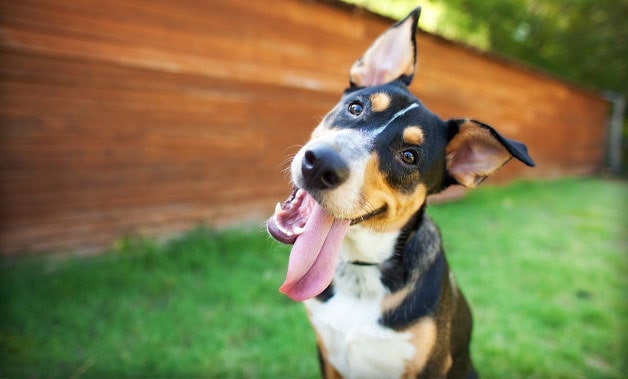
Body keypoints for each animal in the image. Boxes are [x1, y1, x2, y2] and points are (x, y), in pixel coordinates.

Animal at [266, 8, 536, 379]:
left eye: (409, 156)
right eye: (355, 107)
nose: (319, 165)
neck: (362, 272)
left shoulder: (429, 367)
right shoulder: (327, 354)